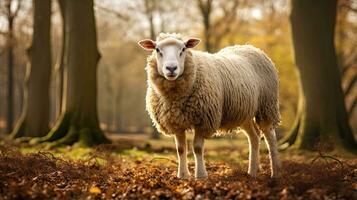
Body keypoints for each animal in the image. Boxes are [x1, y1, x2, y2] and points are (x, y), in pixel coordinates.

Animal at [138, 32, 280, 180]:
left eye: (183, 49)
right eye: (157, 50)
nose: (171, 68)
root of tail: (250, 47)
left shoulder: (204, 120)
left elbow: (197, 148)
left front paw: (201, 175)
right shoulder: (176, 121)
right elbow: (181, 149)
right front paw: (182, 175)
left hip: (267, 106)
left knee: (270, 136)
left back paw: (275, 173)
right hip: (244, 112)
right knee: (254, 137)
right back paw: (252, 172)